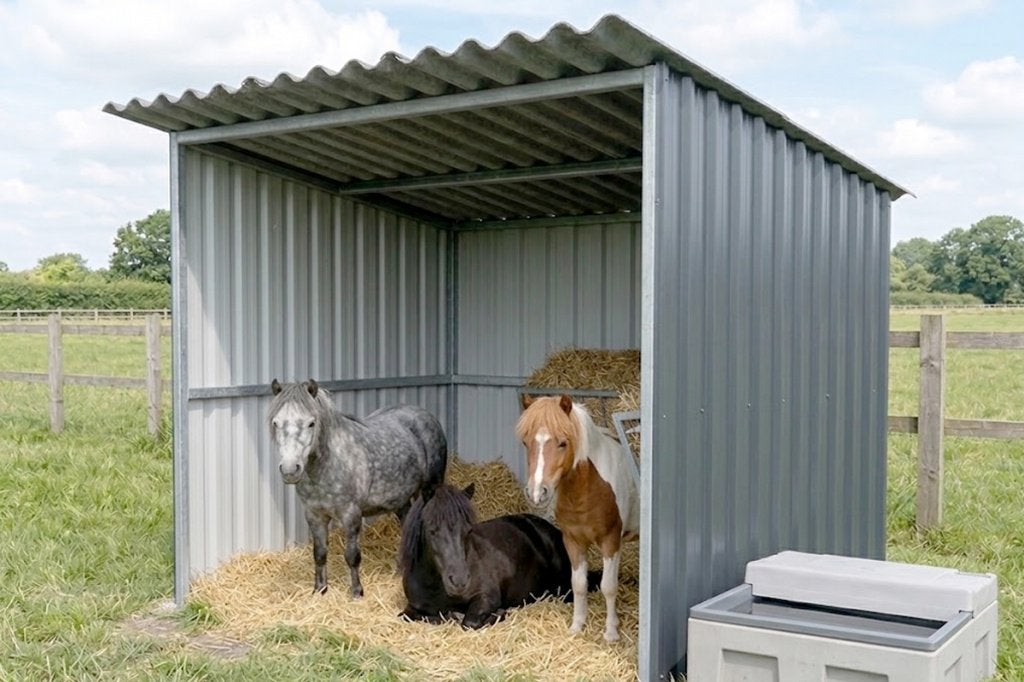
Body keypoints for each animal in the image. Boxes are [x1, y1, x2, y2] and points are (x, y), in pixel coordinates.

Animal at [267, 378, 448, 598]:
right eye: (276, 422)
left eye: (311, 423)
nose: (290, 469)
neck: (330, 463)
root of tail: (425, 415)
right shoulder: (314, 515)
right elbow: (319, 554)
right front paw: (320, 589)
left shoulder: (351, 515)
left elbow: (352, 556)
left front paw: (356, 592)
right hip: (401, 500)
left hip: (431, 488)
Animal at [397, 481, 582, 629]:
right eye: (432, 530)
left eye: (468, 530)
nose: (459, 581)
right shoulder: (412, 607)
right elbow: (407, 617)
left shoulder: (486, 597)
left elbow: (469, 622)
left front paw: (498, 614)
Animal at [516, 393, 639, 642]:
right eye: (526, 442)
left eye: (563, 443)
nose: (536, 492)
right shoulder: (573, 541)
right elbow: (579, 584)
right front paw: (577, 626)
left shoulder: (610, 541)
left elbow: (608, 586)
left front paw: (611, 632)